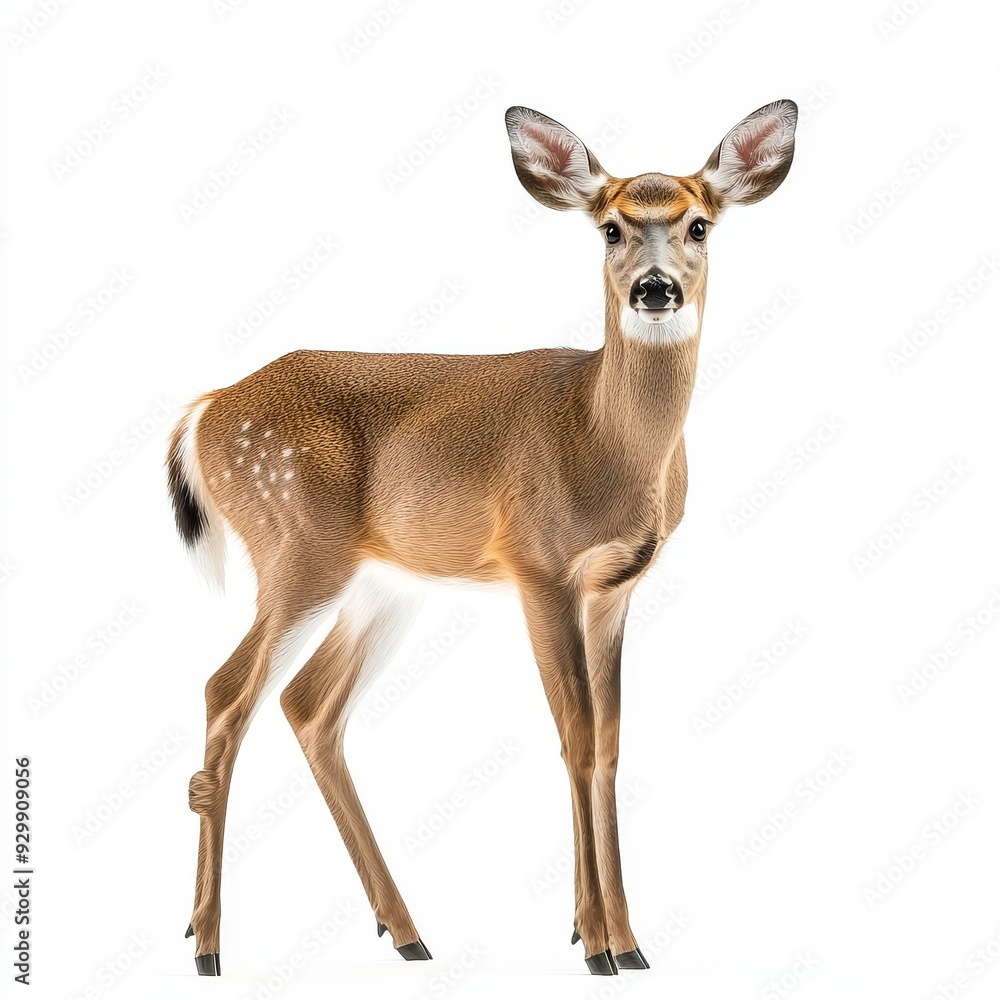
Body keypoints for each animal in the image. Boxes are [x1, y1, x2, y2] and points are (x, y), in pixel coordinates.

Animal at [168, 99, 797, 977]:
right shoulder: (537, 565)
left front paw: (623, 940)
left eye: (699, 225)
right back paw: (208, 944)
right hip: (295, 543)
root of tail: (206, 409)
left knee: (308, 705)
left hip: (380, 585)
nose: (656, 288)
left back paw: (406, 932)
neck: (599, 435)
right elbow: (574, 737)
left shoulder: (614, 587)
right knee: (226, 689)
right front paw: (597, 944)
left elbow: (608, 741)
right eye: (610, 228)